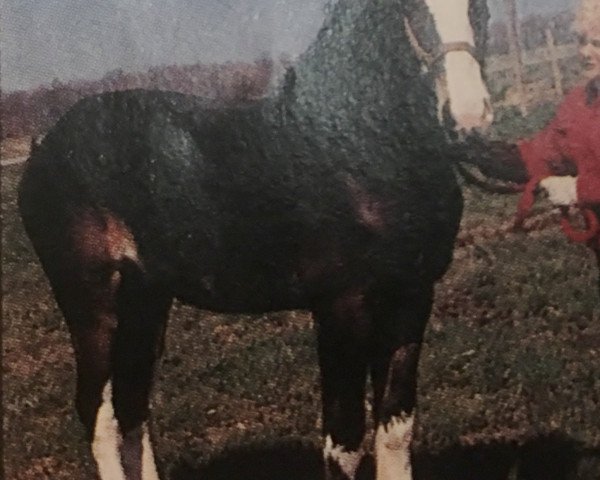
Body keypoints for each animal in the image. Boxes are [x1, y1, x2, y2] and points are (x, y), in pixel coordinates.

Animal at [19, 0, 492, 480]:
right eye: (409, 9)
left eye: (480, 7)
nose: (469, 118)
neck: (350, 149)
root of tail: (45, 148)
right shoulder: (341, 306)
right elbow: (344, 441)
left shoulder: (412, 298)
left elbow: (396, 430)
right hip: (94, 305)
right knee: (99, 414)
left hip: (145, 300)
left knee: (131, 407)